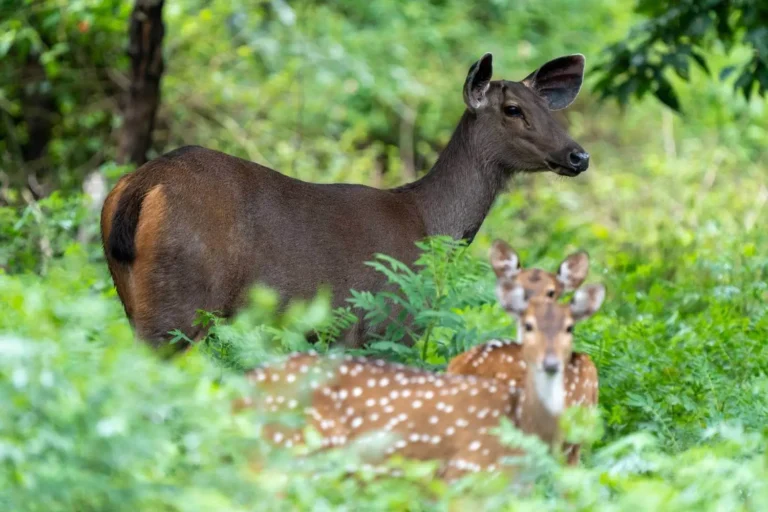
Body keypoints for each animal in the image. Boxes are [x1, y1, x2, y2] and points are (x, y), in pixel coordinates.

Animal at [101, 53, 591, 350]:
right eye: (512, 110)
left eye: (550, 109)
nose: (578, 156)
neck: (428, 221)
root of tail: (140, 187)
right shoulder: (385, 322)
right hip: (180, 302)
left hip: (135, 301)